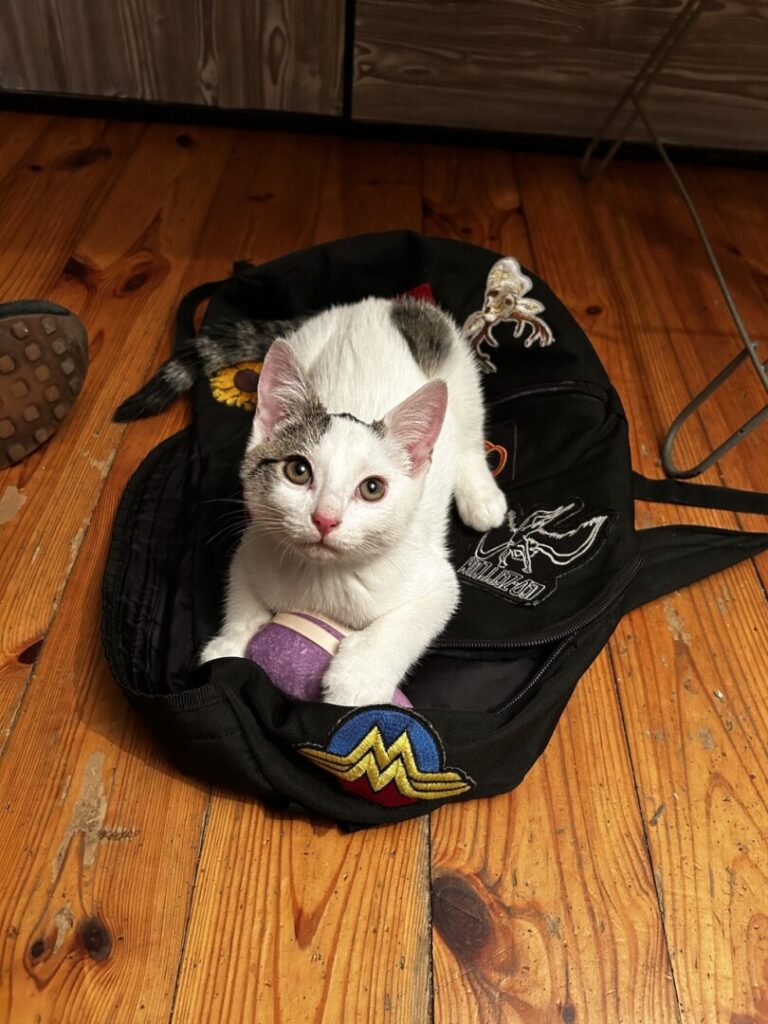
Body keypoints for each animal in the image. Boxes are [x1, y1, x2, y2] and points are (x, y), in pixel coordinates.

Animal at [197, 296, 507, 707]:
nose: (325, 519)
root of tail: (375, 302)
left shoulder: (435, 582)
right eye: (298, 470)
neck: (323, 577)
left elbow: (413, 619)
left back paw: (481, 497)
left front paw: (359, 678)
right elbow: (243, 598)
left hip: (461, 376)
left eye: (372, 488)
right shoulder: (252, 546)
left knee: (470, 434)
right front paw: (231, 644)